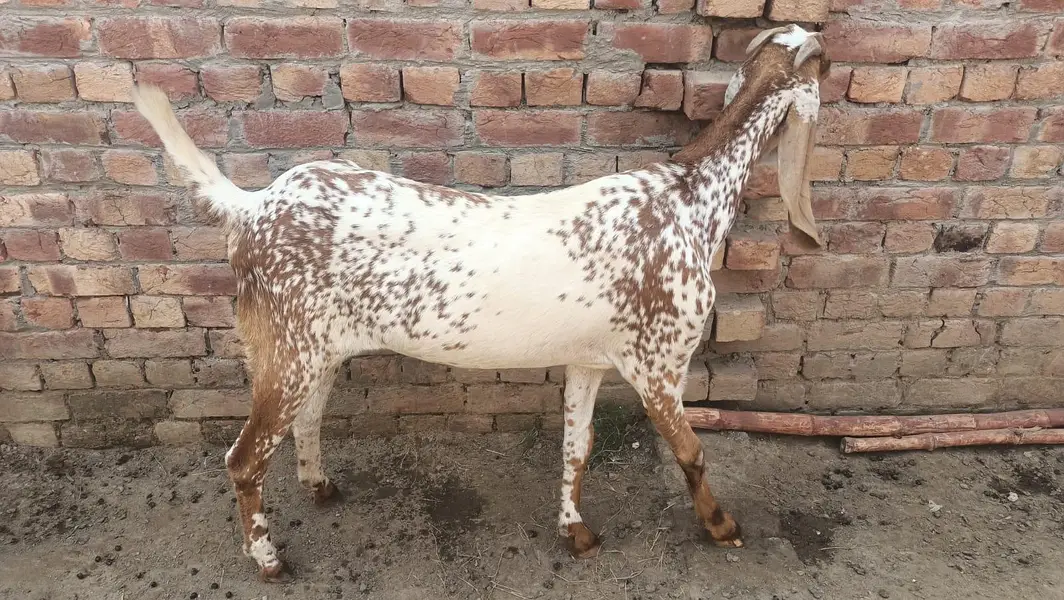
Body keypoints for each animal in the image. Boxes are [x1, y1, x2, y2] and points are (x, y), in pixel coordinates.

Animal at [131, 23, 830, 582]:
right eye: (824, 67)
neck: (691, 199)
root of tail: (252, 208)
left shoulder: (588, 361)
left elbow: (577, 447)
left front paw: (576, 531)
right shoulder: (660, 362)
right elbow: (691, 451)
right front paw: (722, 526)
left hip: (316, 349)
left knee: (305, 421)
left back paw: (321, 488)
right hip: (284, 349)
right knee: (243, 458)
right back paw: (270, 559)